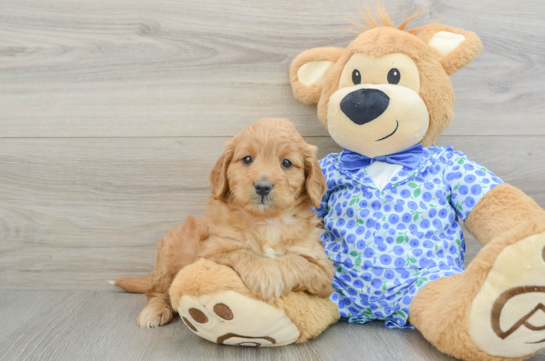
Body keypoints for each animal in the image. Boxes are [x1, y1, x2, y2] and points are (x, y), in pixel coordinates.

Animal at [114, 119, 334, 330]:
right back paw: (154, 311)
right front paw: (265, 275)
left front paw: (274, 274)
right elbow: (241, 253)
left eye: (287, 163)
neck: (266, 221)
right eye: (247, 159)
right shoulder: (210, 253)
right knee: (157, 291)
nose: (263, 187)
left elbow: (297, 261)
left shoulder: (324, 273)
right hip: (168, 255)